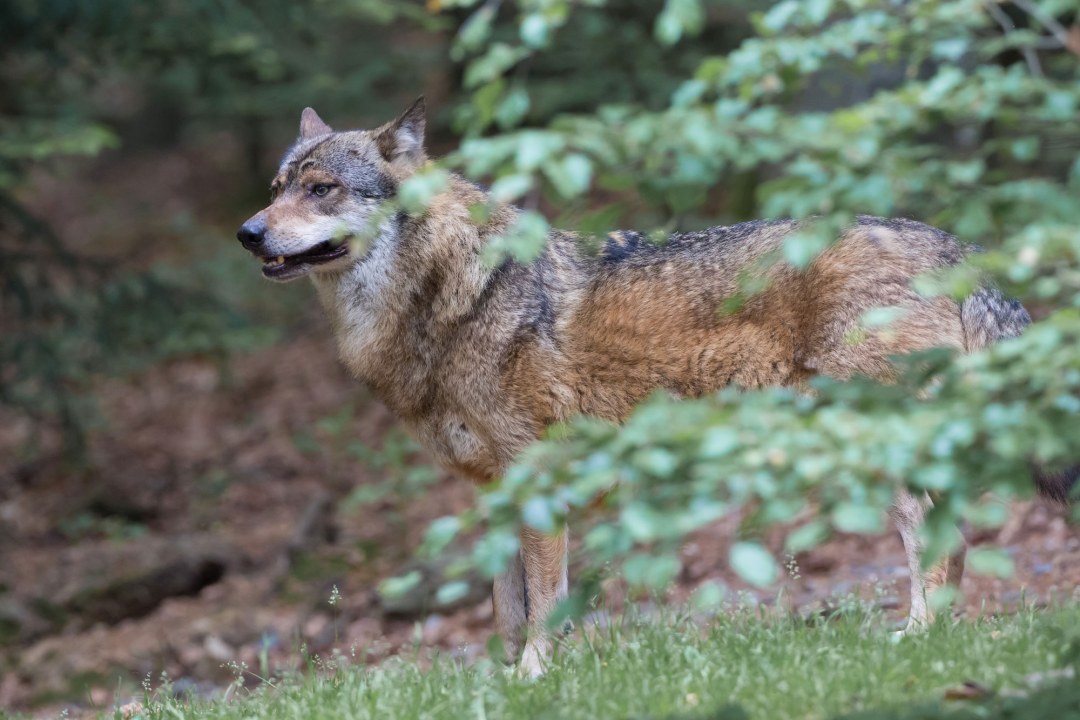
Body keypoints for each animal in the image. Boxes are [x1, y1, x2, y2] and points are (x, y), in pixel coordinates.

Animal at [237, 99, 1078, 676]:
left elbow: (542, 607)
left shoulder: (540, 482)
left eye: (321, 189)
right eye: (277, 187)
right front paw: (504, 684)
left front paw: (537, 678)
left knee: (939, 541)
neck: (446, 298)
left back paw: (917, 638)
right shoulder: (492, 492)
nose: (248, 232)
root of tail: (952, 244)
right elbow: (506, 608)